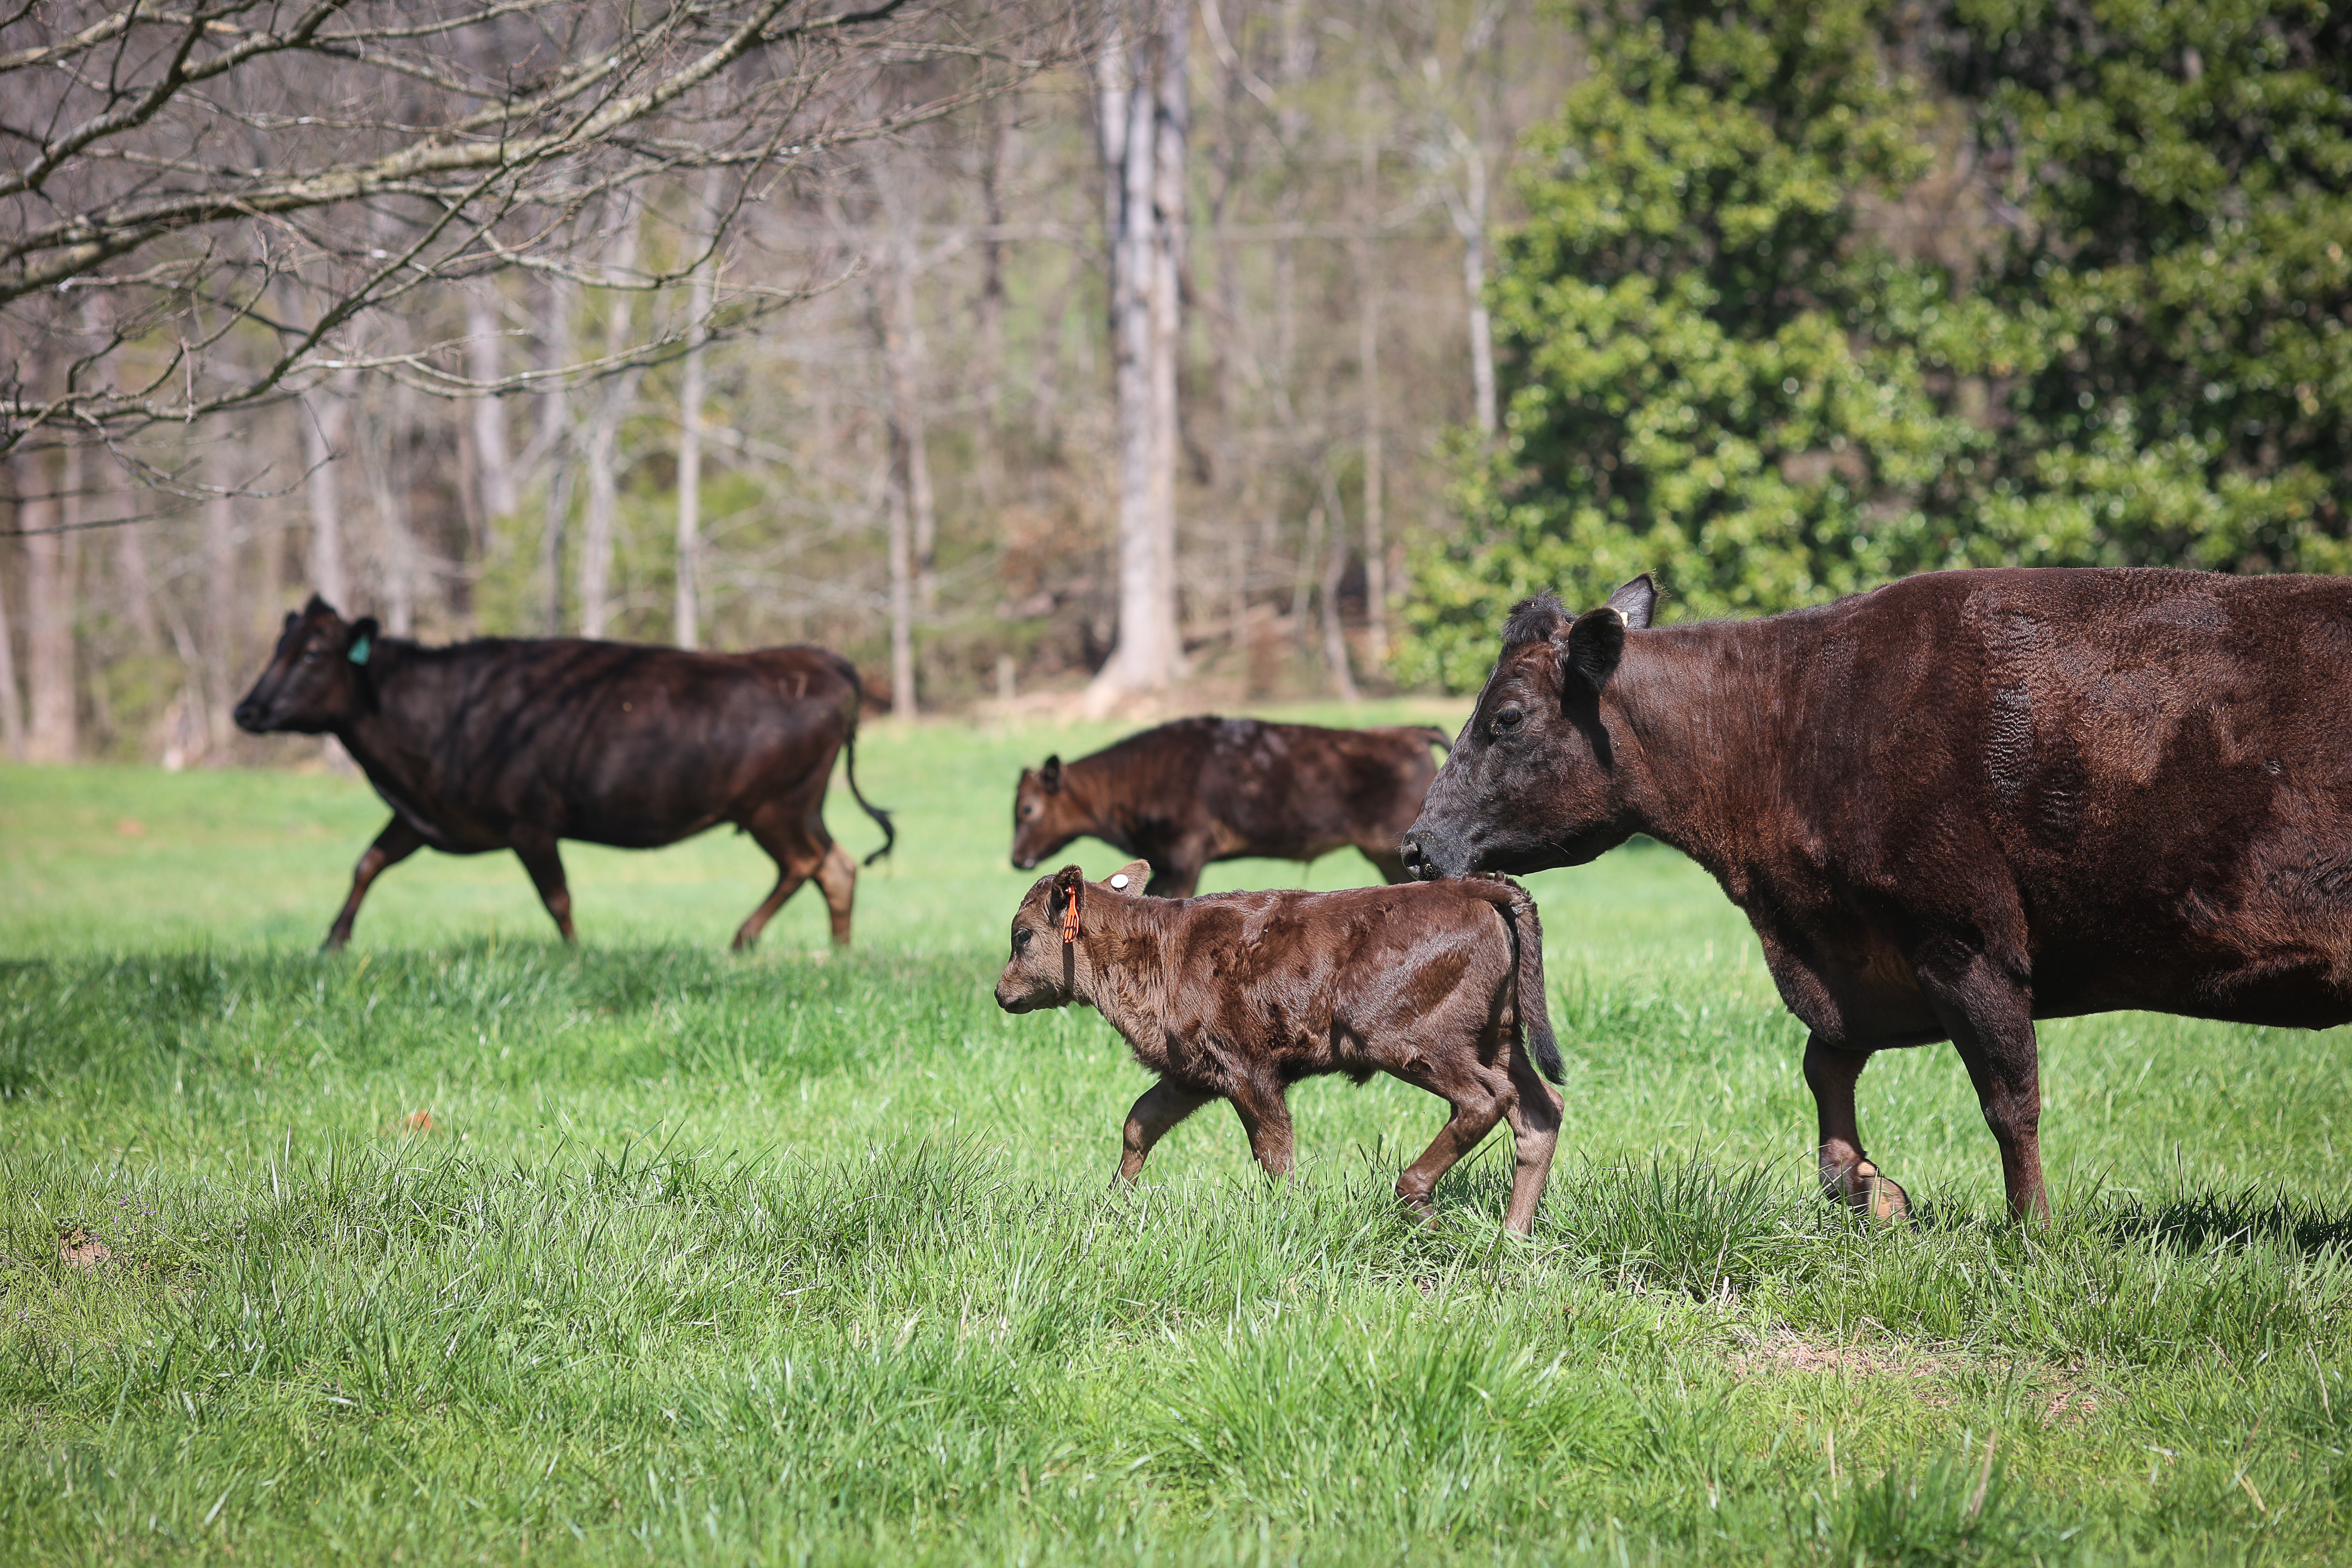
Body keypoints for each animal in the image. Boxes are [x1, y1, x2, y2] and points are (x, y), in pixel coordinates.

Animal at [233, 595, 894, 952]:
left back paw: (744, 938)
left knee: (806, 864)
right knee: (836, 867)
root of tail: (820, 659)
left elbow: (557, 898)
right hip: (801, 806)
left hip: (774, 806)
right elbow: (367, 863)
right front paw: (333, 941)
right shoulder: (422, 816)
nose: (246, 710)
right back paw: (838, 950)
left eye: (312, 654)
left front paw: (577, 956)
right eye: (277, 648)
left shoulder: (529, 821)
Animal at [992, 859, 1566, 1232]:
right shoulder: (1190, 1075)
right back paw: (1512, 1239)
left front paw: (1286, 1219)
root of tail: (1475, 891)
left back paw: (1416, 1199)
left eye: (1022, 935)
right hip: (1500, 1041)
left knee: (1485, 1100)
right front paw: (1113, 1205)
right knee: (1541, 1111)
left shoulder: (1250, 1075)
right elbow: (1139, 1124)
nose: (1001, 993)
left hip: (1411, 1042)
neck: (1156, 947)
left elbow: (1274, 1153)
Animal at [1399, 568, 2352, 1223]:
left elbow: (2010, 1097)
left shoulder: (1966, 938)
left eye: (1507, 718)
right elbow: (1826, 1059)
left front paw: (2032, 1232)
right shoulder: (1859, 956)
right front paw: (1860, 1183)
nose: (1415, 844)